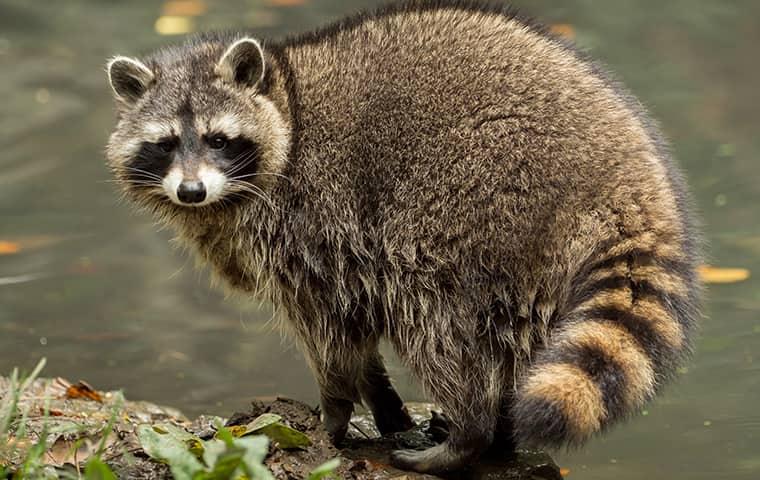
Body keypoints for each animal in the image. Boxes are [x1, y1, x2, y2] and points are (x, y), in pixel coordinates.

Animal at [105, 0, 700, 472]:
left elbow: (332, 331)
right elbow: (358, 322)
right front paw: (383, 402)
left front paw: (334, 413)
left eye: (218, 139)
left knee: (439, 322)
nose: (191, 192)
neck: (286, 101)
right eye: (164, 144)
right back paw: (497, 435)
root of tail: (628, 176)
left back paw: (470, 432)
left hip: (477, 204)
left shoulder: (310, 224)